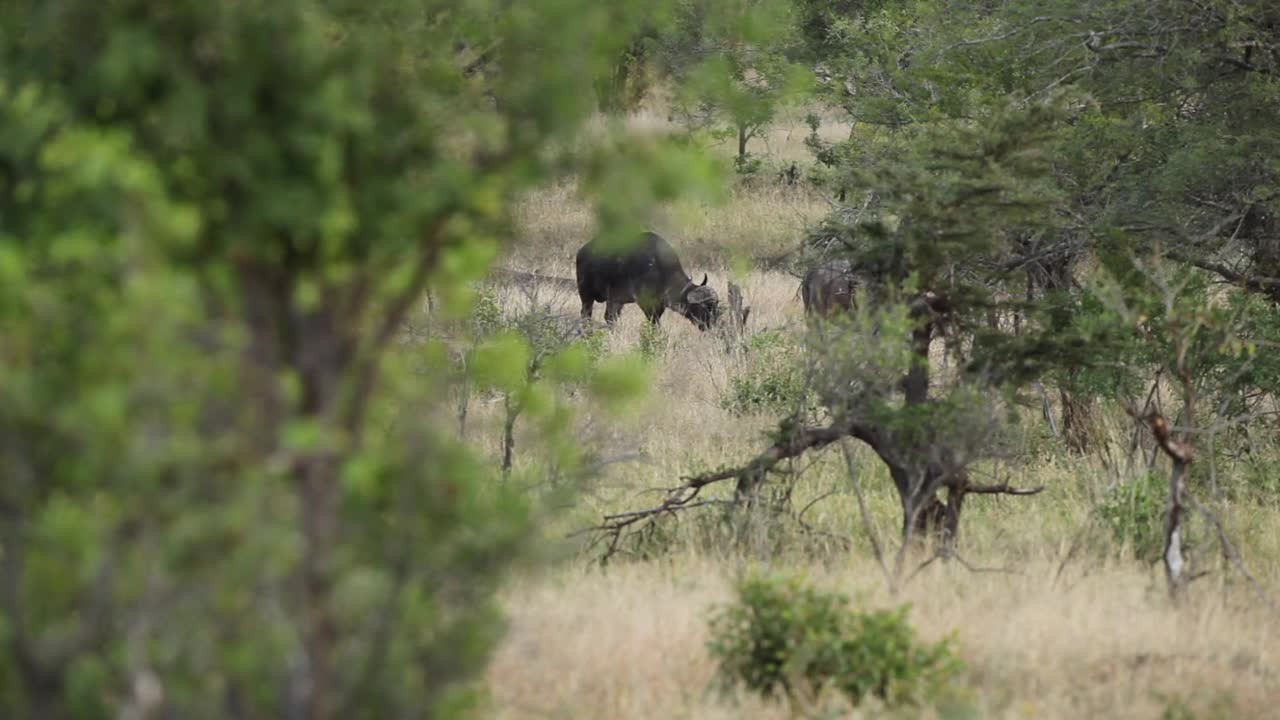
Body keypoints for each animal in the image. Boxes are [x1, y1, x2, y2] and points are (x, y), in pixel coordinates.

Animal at [578, 230, 721, 330]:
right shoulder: (645, 303)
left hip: (615, 300)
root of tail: (582, 251)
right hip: (586, 295)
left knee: (609, 317)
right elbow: (654, 323)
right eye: (704, 307)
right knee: (586, 314)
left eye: (715, 307)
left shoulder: (659, 305)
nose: (710, 325)